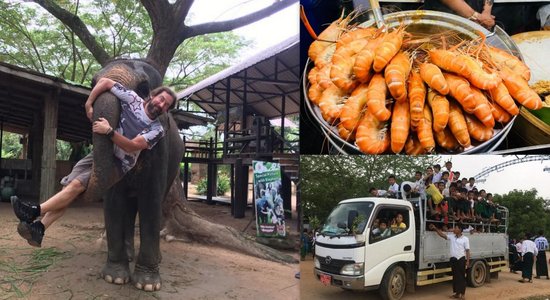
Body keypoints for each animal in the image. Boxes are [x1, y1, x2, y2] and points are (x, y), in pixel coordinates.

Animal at [81, 58, 185, 290]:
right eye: (92, 83)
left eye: (144, 88)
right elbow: (113, 201)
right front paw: (115, 278)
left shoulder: (160, 145)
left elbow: (151, 201)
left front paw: (147, 284)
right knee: (128, 206)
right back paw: (128, 255)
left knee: (152, 201)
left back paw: (156, 259)